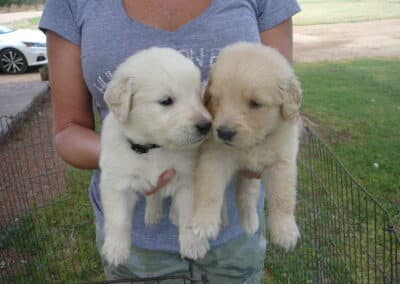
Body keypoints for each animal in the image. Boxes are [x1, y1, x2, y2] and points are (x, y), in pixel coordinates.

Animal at [192, 42, 302, 251]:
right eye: (216, 99)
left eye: (255, 103)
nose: (224, 132)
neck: (252, 145)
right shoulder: (214, 158)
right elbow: (209, 191)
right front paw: (204, 222)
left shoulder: (281, 163)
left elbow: (282, 197)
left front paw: (285, 231)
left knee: (247, 195)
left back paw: (250, 222)